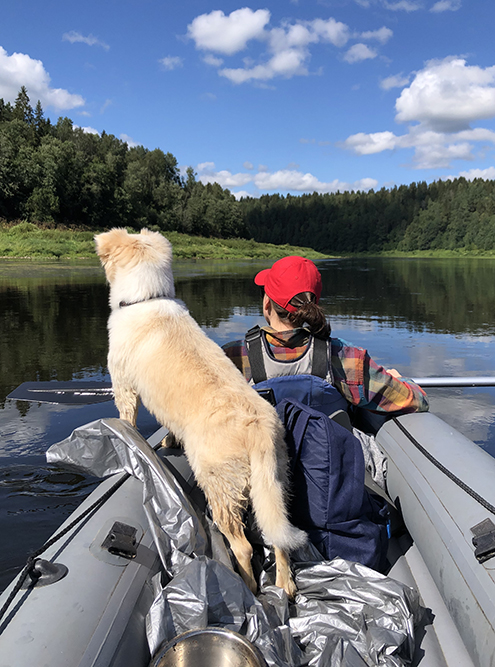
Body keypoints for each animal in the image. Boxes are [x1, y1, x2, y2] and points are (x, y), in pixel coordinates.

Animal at [95, 228, 306, 596]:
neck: (146, 297)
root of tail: (256, 428)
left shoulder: (123, 383)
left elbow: (127, 418)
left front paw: (126, 438)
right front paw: (168, 442)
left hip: (219, 484)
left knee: (244, 546)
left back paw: (247, 586)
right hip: (275, 481)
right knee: (278, 536)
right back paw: (285, 584)